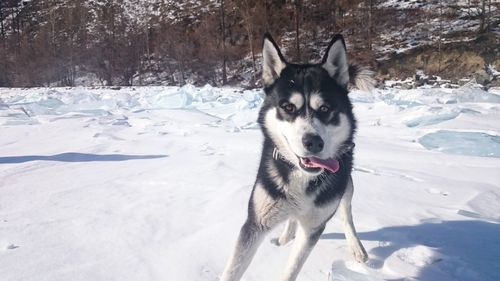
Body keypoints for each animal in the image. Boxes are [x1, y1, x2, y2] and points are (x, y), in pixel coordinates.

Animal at [221, 33, 374, 280]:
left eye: (325, 108)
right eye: (288, 107)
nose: (314, 142)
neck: (302, 177)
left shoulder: (314, 227)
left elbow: (292, 268)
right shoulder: (256, 222)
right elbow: (232, 270)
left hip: (345, 185)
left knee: (346, 214)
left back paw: (356, 247)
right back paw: (284, 238)